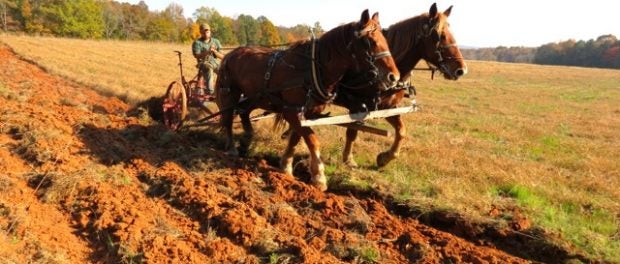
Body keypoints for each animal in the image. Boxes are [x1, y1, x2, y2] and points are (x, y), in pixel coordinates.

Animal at [216, 8, 400, 190]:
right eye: (370, 41)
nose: (394, 77)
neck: (312, 70)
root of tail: (230, 53)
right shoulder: (292, 111)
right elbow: (312, 140)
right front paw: (319, 176)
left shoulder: (309, 114)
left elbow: (296, 139)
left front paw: (286, 166)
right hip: (230, 93)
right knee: (228, 119)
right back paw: (232, 148)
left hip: (255, 96)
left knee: (243, 112)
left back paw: (247, 140)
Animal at [336, 2, 468, 167]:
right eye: (438, 35)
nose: (461, 70)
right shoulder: (357, 106)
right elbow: (352, 131)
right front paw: (348, 159)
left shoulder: (388, 107)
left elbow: (401, 131)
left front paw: (386, 157)